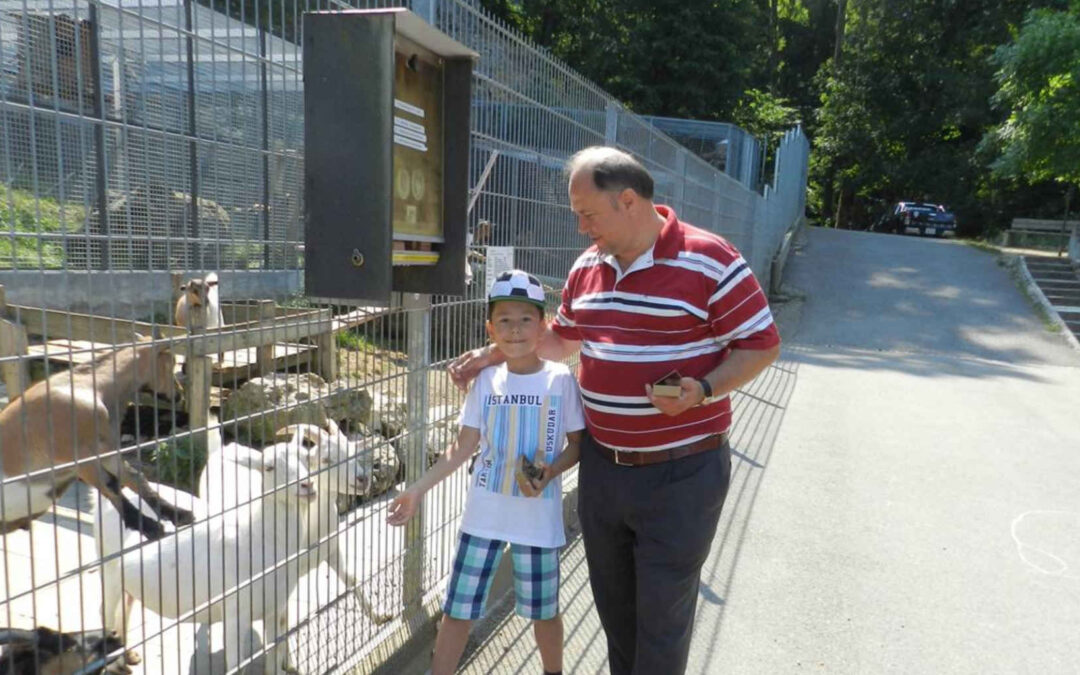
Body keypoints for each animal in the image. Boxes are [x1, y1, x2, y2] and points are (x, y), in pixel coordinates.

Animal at [1, 339, 194, 540]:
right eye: (170, 362)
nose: (179, 395)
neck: (87, 389)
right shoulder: (80, 458)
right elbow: (109, 486)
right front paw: (149, 527)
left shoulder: (105, 448)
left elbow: (134, 478)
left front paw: (179, 514)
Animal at [94, 440, 315, 669]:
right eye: (269, 467)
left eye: (307, 459)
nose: (307, 485)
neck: (259, 536)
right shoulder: (235, 610)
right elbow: (236, 664)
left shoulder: (275, 607)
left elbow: (274, 654)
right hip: (108, 567)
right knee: (106, 612)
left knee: (125, 608)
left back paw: (129, 655)